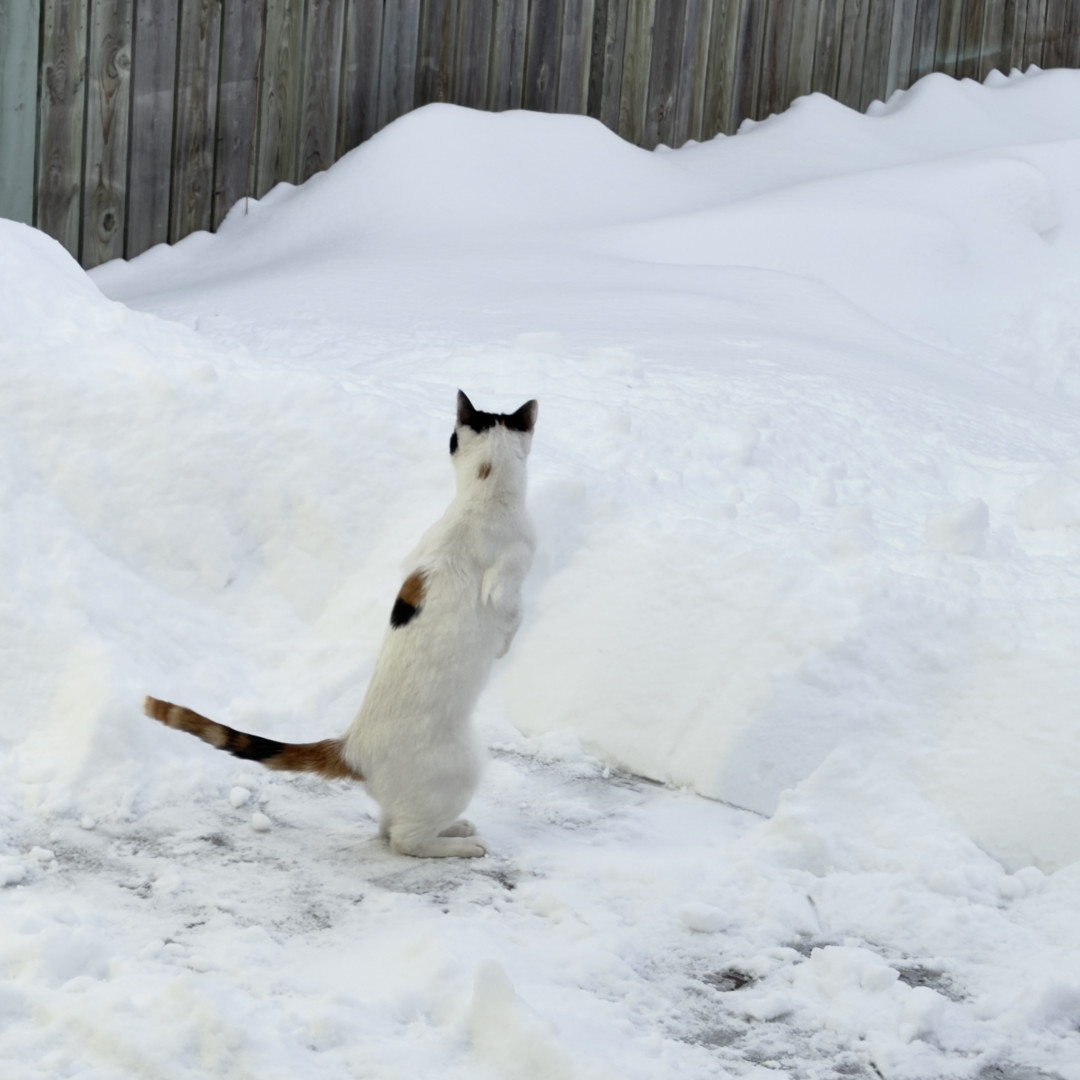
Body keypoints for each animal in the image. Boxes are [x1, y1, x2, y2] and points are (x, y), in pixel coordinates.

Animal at [145, 390, 538, 858]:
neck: (477, 498)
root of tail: (352, 747)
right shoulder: (509, 575)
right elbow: (511, 614)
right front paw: (505, 646)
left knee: (388, 827)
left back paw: (454, 829)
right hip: (463, 769)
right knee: (404, 840)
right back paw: (462, 844)